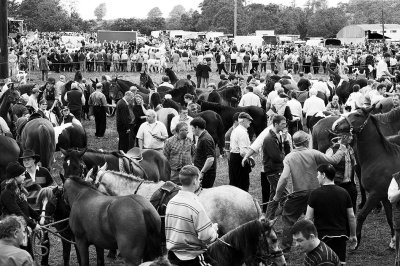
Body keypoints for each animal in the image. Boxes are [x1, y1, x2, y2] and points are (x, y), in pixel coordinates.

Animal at [332, 106, 400, 249]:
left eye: (357, 115)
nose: (335, 124)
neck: (379, 157)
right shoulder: (384, 197)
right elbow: (390, 219)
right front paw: (392, 241)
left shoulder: (375, 195)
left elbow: (361, 215)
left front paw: (355, 242)